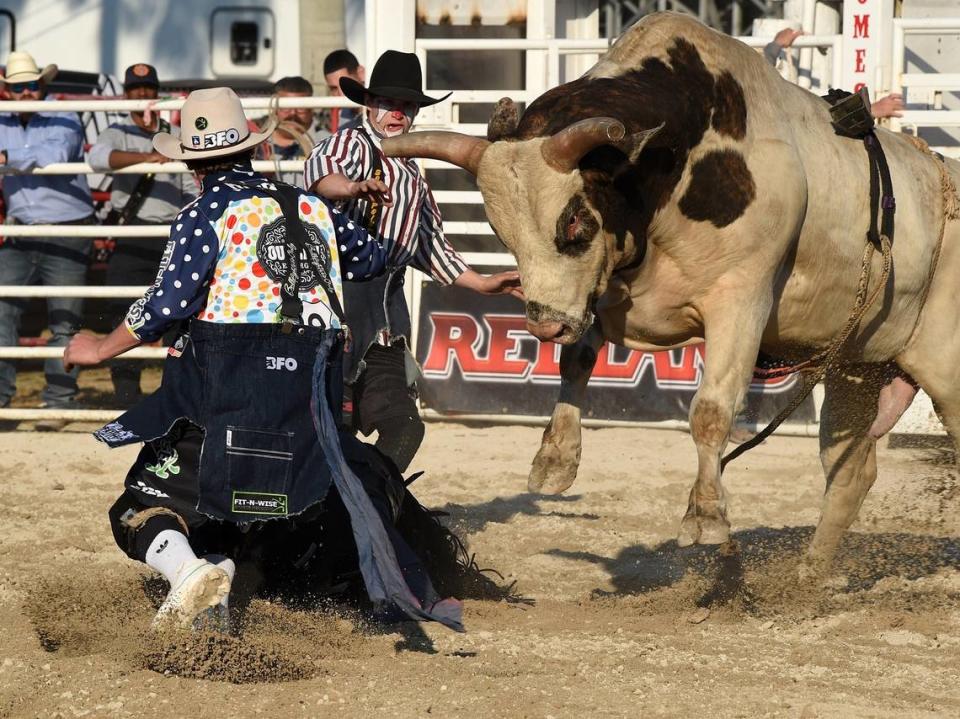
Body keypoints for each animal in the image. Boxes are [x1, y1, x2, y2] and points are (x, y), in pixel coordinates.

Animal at [380, 11, 960, 572]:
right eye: (504, 235)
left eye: (576, 222)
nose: (544, 326)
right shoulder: (595, 292)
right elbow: (575, 365)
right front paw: (554, 461)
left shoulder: (740, 301)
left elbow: (710, 410)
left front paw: (705, 516)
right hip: (856, 371)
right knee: (849, 471)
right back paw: (809, 579)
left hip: (944, 372)